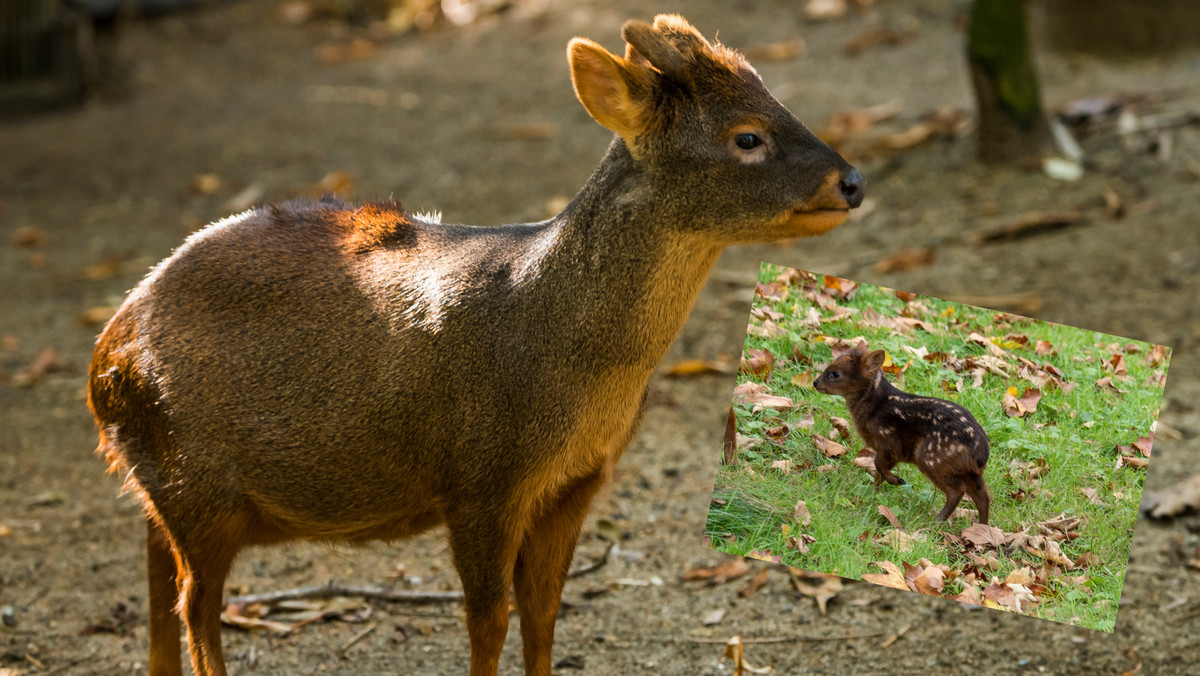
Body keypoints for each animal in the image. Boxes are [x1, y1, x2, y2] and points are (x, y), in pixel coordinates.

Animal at [88, 11, 868, 676]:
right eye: (747, 136)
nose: (854, 180)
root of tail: (106, 354)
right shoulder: (480, 479)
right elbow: (488, 620)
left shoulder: (577, 481)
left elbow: (545, 613)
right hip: (196, 483)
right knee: (196, 603)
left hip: (163, 482)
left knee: (158, 574)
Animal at [816, 348, 993, 523]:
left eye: (835, 373)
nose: (815, 382)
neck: (874, 408)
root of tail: (981, 453)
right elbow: (877, 472)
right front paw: (873, 496)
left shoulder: (890, 442)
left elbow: (878, 464)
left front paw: (896, 481)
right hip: (969, 471)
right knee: (983, 496)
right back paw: (981, 526)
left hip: (931, 457)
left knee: (958, 490)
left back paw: (936, 521)